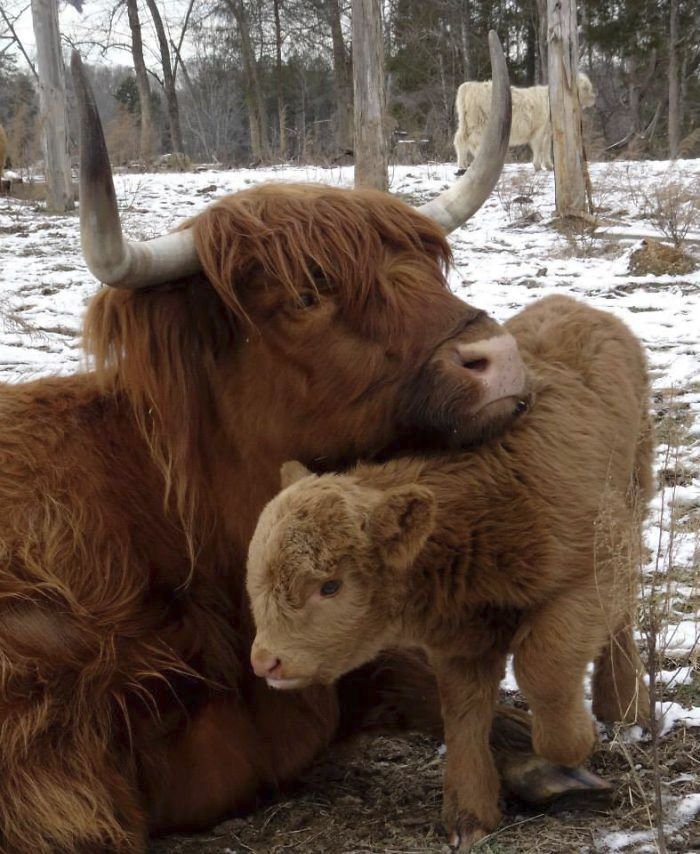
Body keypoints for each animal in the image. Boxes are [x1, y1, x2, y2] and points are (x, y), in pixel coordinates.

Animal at [249, 296, 652, 854]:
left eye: (330, 586)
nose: (267, 661)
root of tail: (570, 304)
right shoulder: (460, 634)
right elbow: (462, 711)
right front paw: (468, 815)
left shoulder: (589, 576)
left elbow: (544, 664)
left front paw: (569, 747)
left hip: (631, 505)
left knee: (621, 619)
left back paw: (625, 704)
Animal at [454, 73, 596, 174]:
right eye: (585, 88)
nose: (594, 98)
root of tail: (469, 85)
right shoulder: (539, 129)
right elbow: (538, 147)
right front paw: (538, 166)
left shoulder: (547, 131)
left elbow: (546, 148)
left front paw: (549, 166)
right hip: (479, 125)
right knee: (472, 143)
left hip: (465, 124)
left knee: (461, 140)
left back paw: (463, 165)